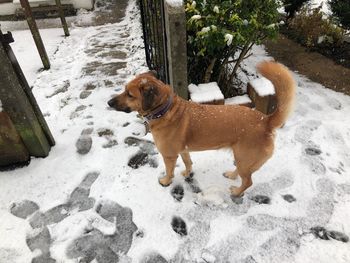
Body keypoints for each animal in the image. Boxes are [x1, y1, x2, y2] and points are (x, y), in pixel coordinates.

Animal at [108, 61, 294, 196]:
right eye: (125, 90)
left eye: (129, 95)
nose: (109, 102)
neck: (165, 109)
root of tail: (265, 120)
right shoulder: (183, 150)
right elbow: (188, 162)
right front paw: (187, 173)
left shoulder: (169, 156)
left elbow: (169, 171)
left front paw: (166, 181)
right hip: (242, 159)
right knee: (243, 175)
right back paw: (232, 176)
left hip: (245, 158)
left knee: (248, 181)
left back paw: (236, 192)